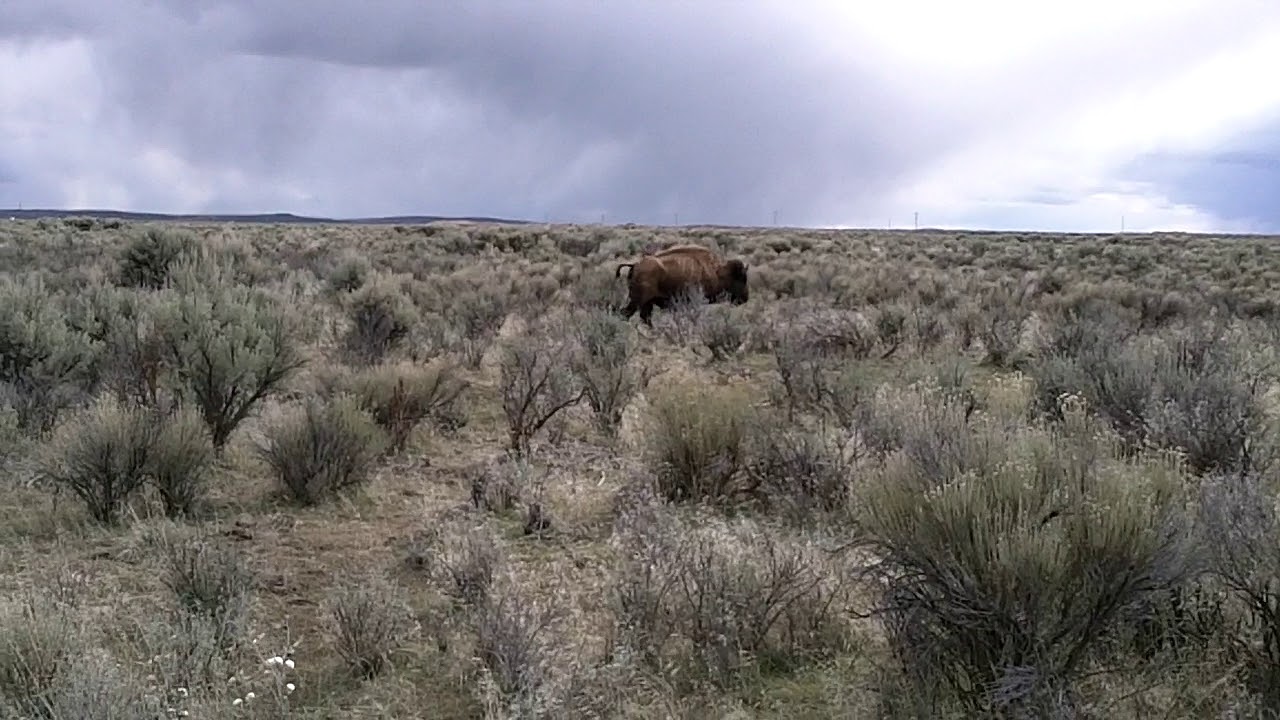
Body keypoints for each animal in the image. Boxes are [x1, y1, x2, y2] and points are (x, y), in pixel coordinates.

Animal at [614, 244, 749, 325]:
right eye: (742, 279)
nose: (745, 298)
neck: (717, 271)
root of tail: (635, 265)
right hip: (638, 301)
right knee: (626, 313)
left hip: (647, 303)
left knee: (644, 317)